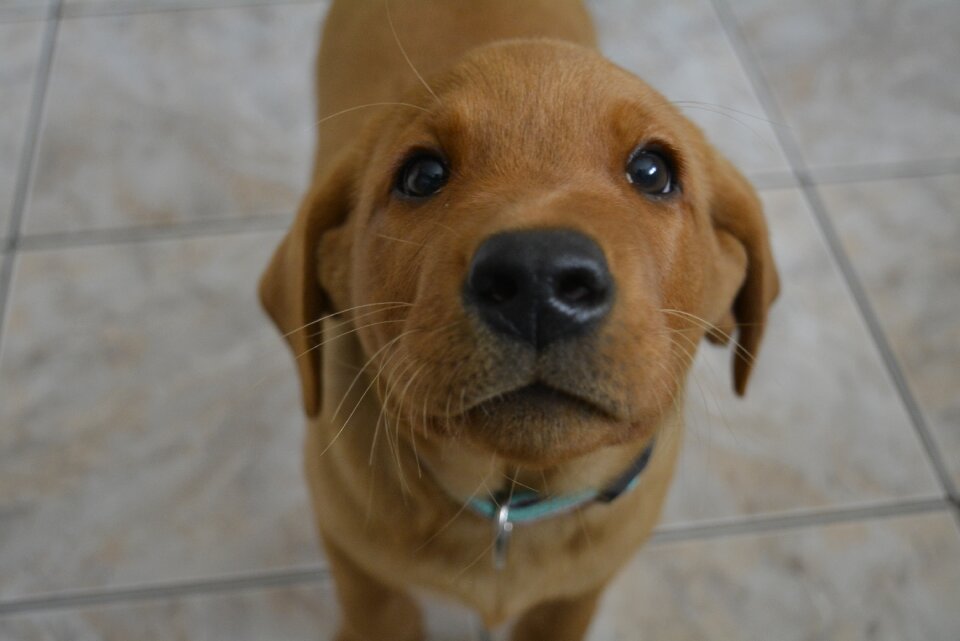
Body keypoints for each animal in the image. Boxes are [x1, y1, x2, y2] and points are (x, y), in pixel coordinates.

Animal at [258, 2, 776, 636]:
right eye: (422, 175)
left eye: (653, 172)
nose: (538, 280)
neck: (508, 506)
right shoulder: (353, 554)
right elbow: (379, 613)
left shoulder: (580, 590)